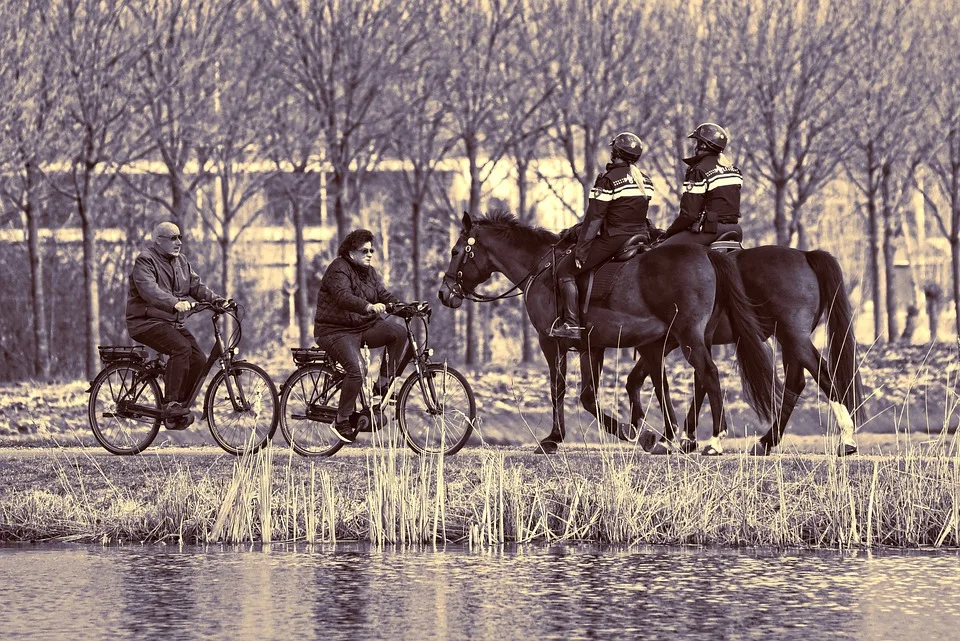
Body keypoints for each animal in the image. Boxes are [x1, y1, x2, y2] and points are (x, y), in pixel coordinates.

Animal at [436, 212, 780, 452]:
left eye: (455, 251)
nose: (444, 293)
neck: (541, 268)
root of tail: (710, 253)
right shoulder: (594, 346)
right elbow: (592, 395)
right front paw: (640, 432)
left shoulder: (551, 342)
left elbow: (560, 390)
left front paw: (554, 438)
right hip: (688, 339)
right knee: (693, 379)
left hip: (689, 338)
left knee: (709, 374)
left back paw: (714, 439)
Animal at [632, 244, 864, 456]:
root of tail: (805, 255)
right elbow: (644, 379)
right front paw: (684, 438)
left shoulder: (669, 341)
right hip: (790, 340)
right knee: (795, 383)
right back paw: (766, 442)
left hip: (794, 338)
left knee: (822, 373)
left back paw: (846, 439)